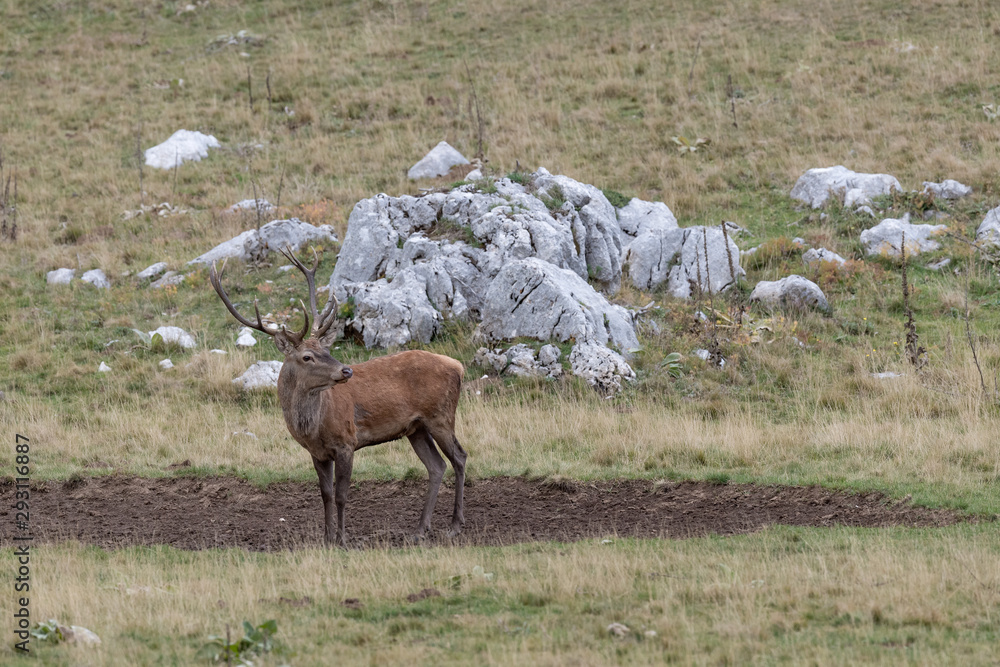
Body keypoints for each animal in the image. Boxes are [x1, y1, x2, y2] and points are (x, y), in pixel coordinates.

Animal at [209, 246, 467, 547]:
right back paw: (420, 529)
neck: (313, 428)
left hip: (440, 415)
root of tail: (458, 366)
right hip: (416, 428)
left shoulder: (346, 442)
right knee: (436, 466)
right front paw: (326, 537)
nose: (346, 370)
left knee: (459, 457)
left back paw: (455, 525)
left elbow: (343, 494)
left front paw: (343, 538)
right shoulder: (317, 453)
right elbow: (326, 494)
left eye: (326, 349)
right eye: (307, 356)